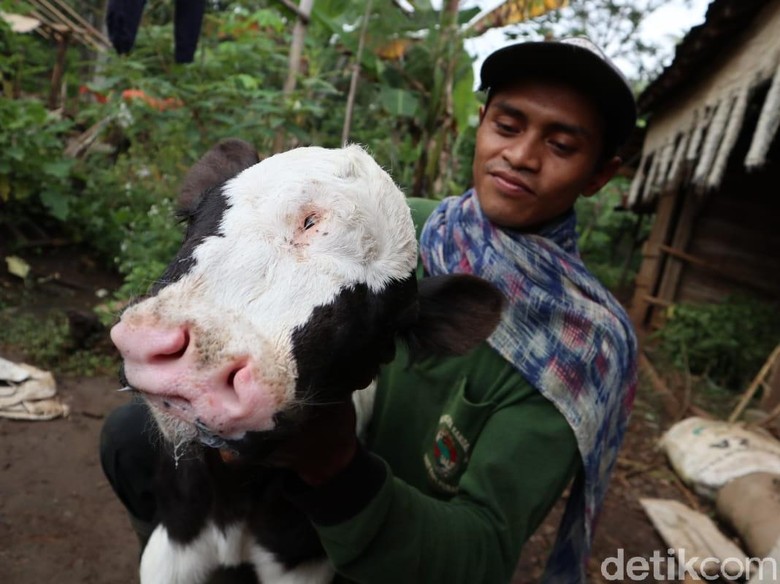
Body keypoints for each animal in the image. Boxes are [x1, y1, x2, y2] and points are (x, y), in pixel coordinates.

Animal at [108, 141, 500, 584]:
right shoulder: (173, 542)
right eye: (195, 216)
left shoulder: (303, 563)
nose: (201, 372)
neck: (237, 494)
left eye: (388, 330)